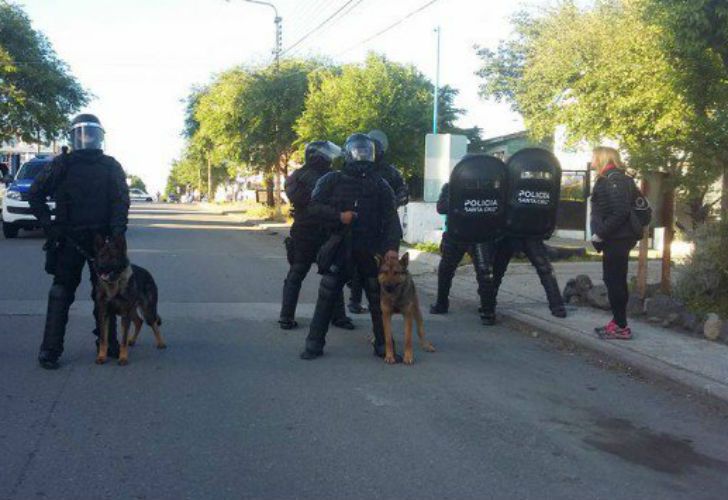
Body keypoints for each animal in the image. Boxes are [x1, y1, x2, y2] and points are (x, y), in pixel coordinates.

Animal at [94, 232, 165, 366]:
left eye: (112, 257)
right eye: (101, 256)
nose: (100, 268)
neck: (114, 285)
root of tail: (148, 273)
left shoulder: (124, 315)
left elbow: (123, 340)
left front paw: (123, 358)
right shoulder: (104, 314)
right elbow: (103, 339)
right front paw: (101, 356)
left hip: (147, 311)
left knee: (153, 324)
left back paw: (161, 342)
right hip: (132, 311)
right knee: (139, 321)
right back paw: (132, 340)